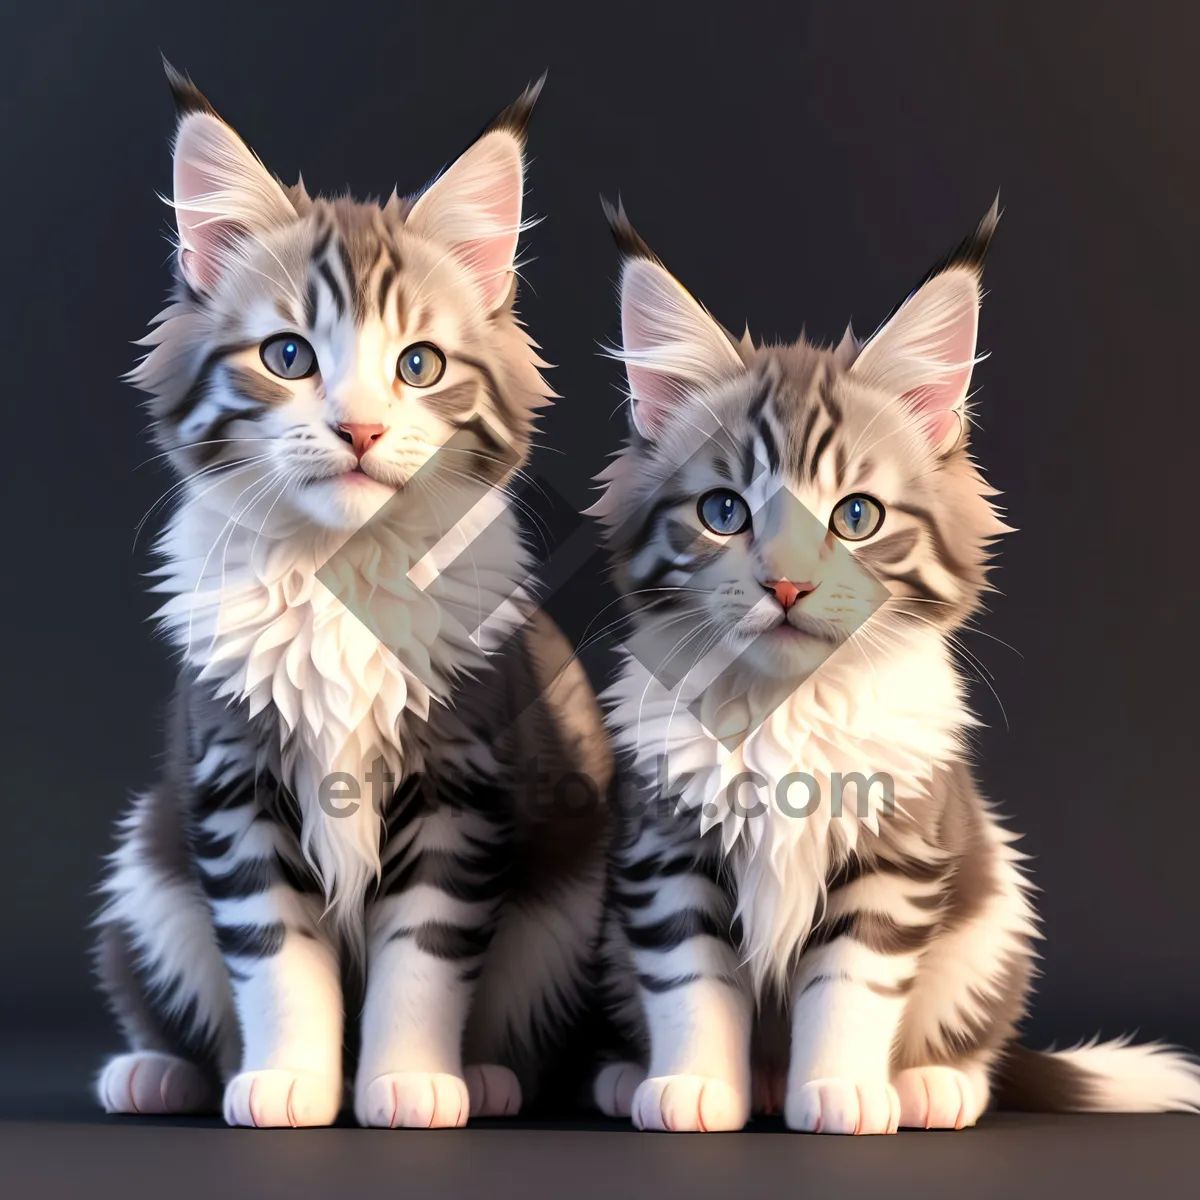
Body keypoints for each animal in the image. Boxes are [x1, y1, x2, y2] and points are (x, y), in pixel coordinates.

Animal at [91, 65, 609, 1128]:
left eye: (419, 365)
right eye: (288, 356)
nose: (361, 430)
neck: (341, 577)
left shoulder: (460, 782)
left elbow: (427, 955)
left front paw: (408, 1080)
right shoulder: (232, 781)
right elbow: (276, 956)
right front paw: (291, 1080)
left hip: (568, 891)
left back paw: (485, 1078)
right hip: (148, 857)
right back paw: (153, 1073)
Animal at [590, 201, 1200, 1128]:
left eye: (856, 517)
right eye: (725, 512)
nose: (789, 584)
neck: (786, 708)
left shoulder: (898, 853)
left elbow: (852, 983)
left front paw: (841, 1091)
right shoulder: (664, 853)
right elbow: (690, 980)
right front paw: (693, 1087)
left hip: (994, 914)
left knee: (978, 1047)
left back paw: (927, 1085)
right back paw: (648, 1078)